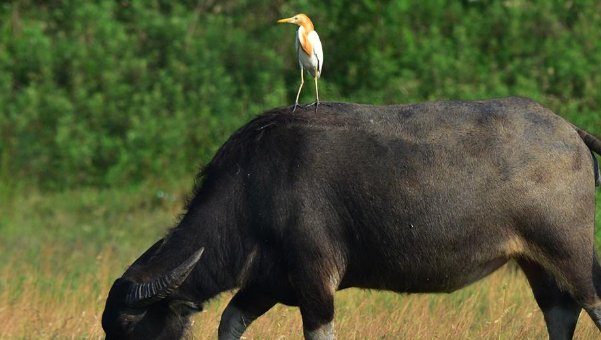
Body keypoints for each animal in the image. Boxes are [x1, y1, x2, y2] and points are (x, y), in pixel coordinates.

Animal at [102, 97, 600, 338]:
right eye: (107, 326)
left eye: (126, 324)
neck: (252, 188)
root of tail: (569, 130)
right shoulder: (267, 283)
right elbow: (230, 322)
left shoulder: (315, 283)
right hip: (537, 264)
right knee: (560, 312)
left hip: (570, 253)